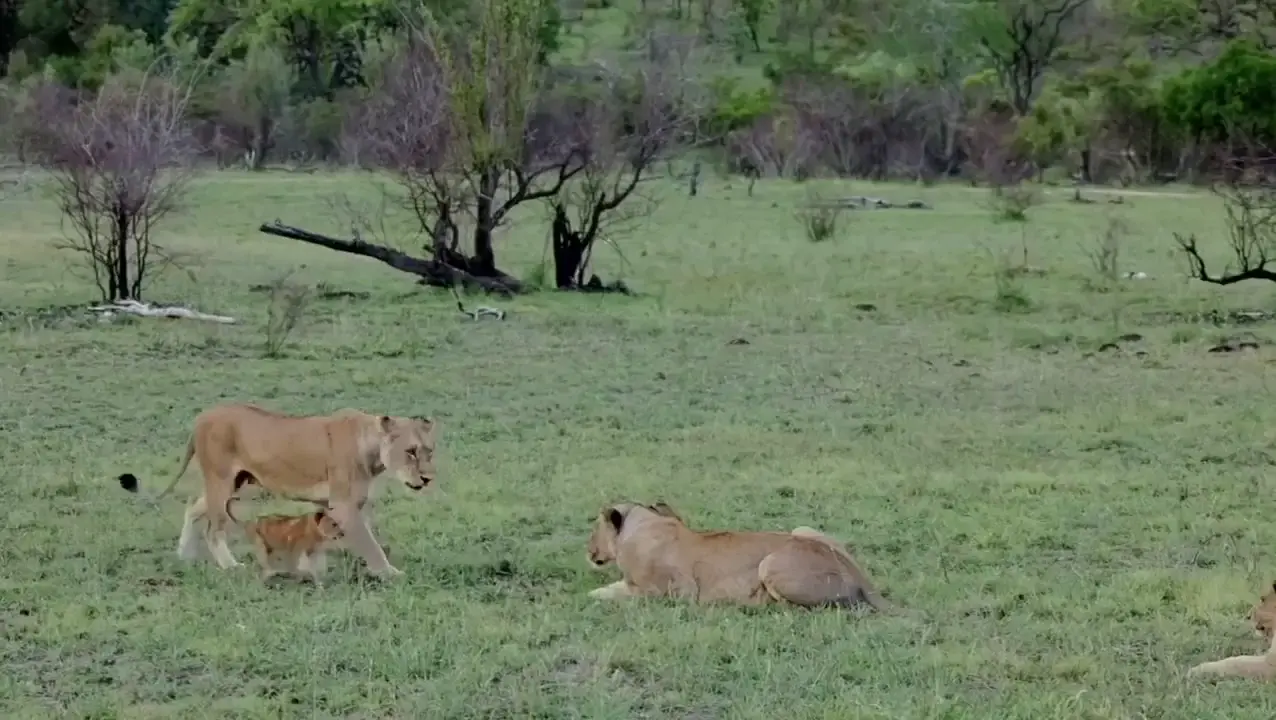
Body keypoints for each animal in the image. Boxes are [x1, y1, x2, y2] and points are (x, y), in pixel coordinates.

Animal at [117, 402, 438, 578]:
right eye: (410, 451)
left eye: (430, 451)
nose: (427, 478)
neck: (372, 448)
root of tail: (201, 417)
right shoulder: (344, 505)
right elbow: (370, 543)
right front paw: (389, 572)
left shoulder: (351, 505)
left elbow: (360, 539)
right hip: (221, 481)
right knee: (213, 528)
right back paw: (230, 566)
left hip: (235, 483)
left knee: (194, 507)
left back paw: (184, 554)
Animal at [586, 501, 890, 611]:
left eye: (594, 527)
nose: (589, 551)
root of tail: (860, 576)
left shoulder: (674, 591)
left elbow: (613, 592)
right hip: (802, 529)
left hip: (770, 563)